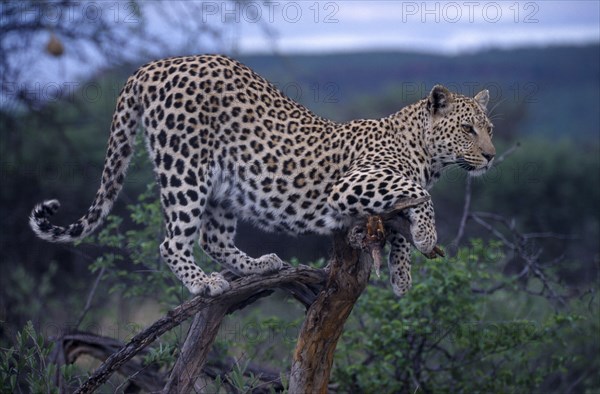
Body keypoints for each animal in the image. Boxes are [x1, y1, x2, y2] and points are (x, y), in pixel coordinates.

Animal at [28, 54, 494, 296]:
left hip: (222, 184)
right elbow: (417, 194)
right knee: (172, 241)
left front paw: (401, 275)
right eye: (468, 129)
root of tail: (153, 66)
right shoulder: (351, 184)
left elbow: (398, 224)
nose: (491, 156)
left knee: (213, 238)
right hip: (185, 168)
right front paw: (427, 239)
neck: (426, 155)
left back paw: (259, 265)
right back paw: (203, 283)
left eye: (489, 127)